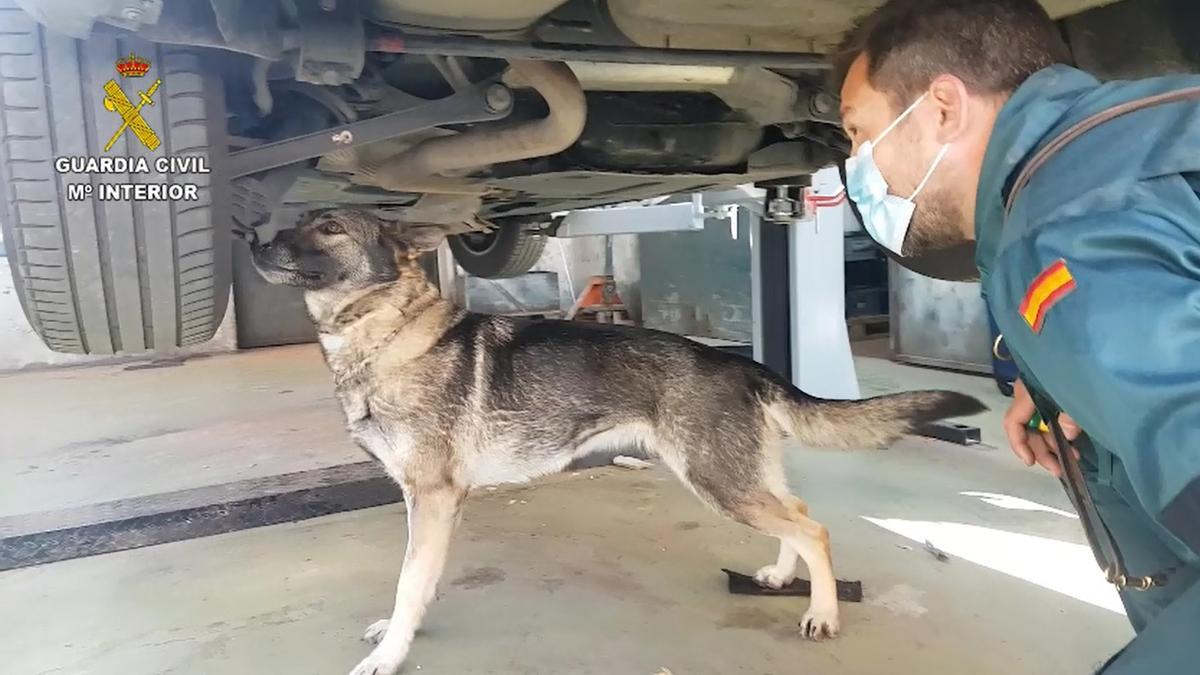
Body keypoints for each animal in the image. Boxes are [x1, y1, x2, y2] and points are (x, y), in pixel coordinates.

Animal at [250, 207, 984, 667]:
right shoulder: (422, 502)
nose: (253, 238)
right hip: (737, 476)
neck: (385, 331)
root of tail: (741, 361)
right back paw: (781, 575)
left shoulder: (432, 498)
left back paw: (823, 613)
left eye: (329, 227)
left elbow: (408, 581)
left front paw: (389, 655)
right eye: (302, 218)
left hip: (716, 479)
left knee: (817, 528)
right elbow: (418, 580)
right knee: (798, 515)